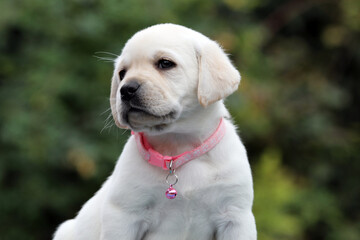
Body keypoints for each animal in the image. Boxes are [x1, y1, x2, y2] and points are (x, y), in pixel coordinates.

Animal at [54, 23, 256, 240]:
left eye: (165, 63)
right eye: (122, 74)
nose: (126, 89)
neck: (178, 146)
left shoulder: (236, 216)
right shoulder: (124, 215)